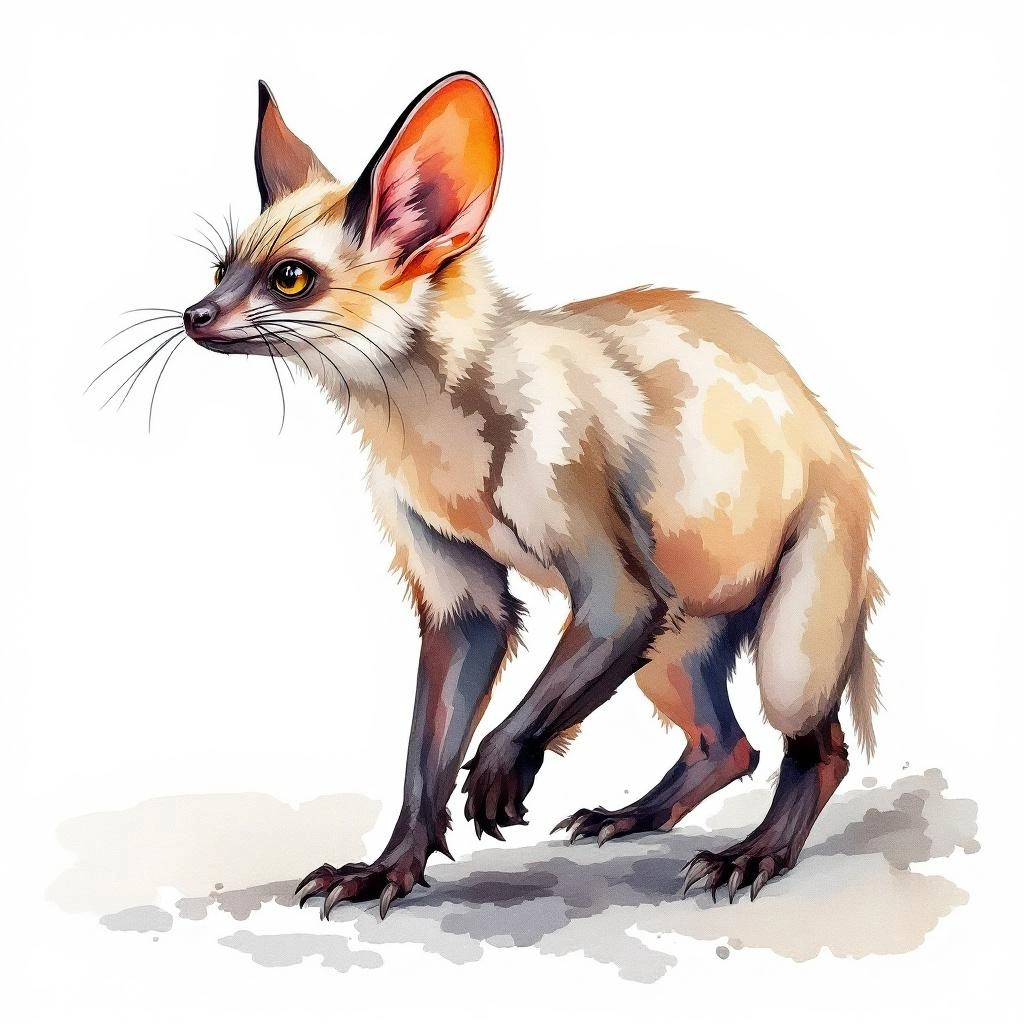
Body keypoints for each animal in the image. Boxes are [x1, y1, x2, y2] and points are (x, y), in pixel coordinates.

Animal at [169, 71, 883, 919]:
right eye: (220, 270)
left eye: (290, 278)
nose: (193, 316)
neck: (441, 447)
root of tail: (833, 439)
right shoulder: (464, 604)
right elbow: (426, 762)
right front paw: (385, 871)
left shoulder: (616, 588)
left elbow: (496, 735)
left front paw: (498, 778)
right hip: (677, 645)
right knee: (726, 744)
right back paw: (627, 818)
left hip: (783, 649)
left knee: (818, 748)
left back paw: (753, 856)